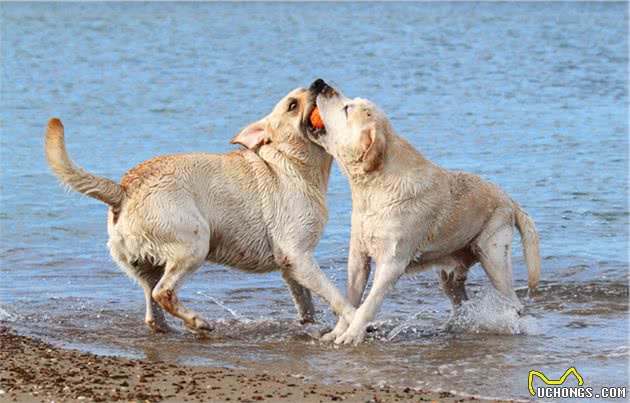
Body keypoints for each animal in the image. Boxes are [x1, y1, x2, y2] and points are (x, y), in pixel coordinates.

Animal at [45, 87, 356, 336]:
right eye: (293, 105)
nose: (319, 82)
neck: (291, 163)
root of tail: (123, 189)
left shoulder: (291, 266)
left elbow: (306, 302)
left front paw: (309, 325)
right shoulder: (299, 257)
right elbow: (336, 296)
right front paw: (355, 319)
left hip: (144, 266)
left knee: (152, 309)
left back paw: (172, 329)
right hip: (194, 245)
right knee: (164, 292)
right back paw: (198, 322)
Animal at [308, 80, 540, 346]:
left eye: (347, 108)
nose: (319, 83)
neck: (373, 188)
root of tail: (509, 199)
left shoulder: (391, 263)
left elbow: (368, 305)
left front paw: (352, 335)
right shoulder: (358, 258)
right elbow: (350, 299)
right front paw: (337, 332)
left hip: (494, 258)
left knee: (513, 303)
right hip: (450, 276)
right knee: (461, 302)